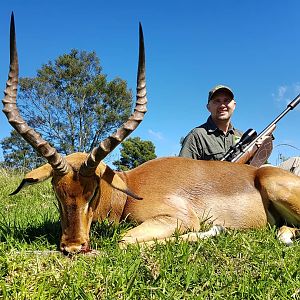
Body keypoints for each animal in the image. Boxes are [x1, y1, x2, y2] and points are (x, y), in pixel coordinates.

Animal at [2, 15, 300, 254]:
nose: (73, 247)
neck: (129, 190)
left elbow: (123, 241)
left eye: (94, 190)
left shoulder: (179, 219)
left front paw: (217, 229)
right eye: (56, 191)